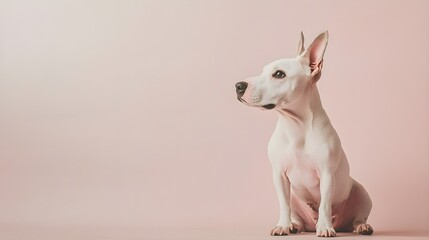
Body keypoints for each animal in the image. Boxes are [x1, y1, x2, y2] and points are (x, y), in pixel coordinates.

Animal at [236, 31, 372, 236]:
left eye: (279, 74)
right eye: (263, 71)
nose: (238, 85)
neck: (295, 125)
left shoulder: (326, 174)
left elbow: (324, 204)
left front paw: (325, 228)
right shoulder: (279, 175)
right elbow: (284, 204)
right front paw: (283, 225)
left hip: (362, 194)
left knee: (358, 216)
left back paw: (360, 226)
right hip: (295, 197)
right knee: (297, 216)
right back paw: (294, 226)